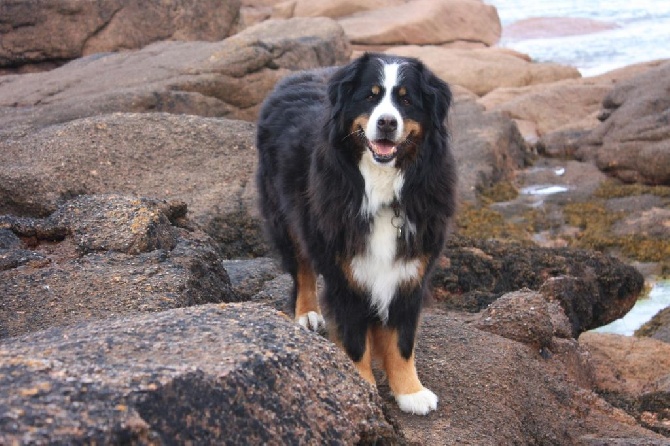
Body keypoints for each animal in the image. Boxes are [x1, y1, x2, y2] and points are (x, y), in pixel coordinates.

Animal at [256, 52, 456, 414]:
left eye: (406, 99)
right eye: (370, 96)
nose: (387, 123)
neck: (380, 186)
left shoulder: (410, 268)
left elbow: (402, 340)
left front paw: (411, 391)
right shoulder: (344, 273)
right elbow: (354, 339)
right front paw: (361, 388)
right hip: (284, 216)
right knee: (302, 269)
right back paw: (307, 313)